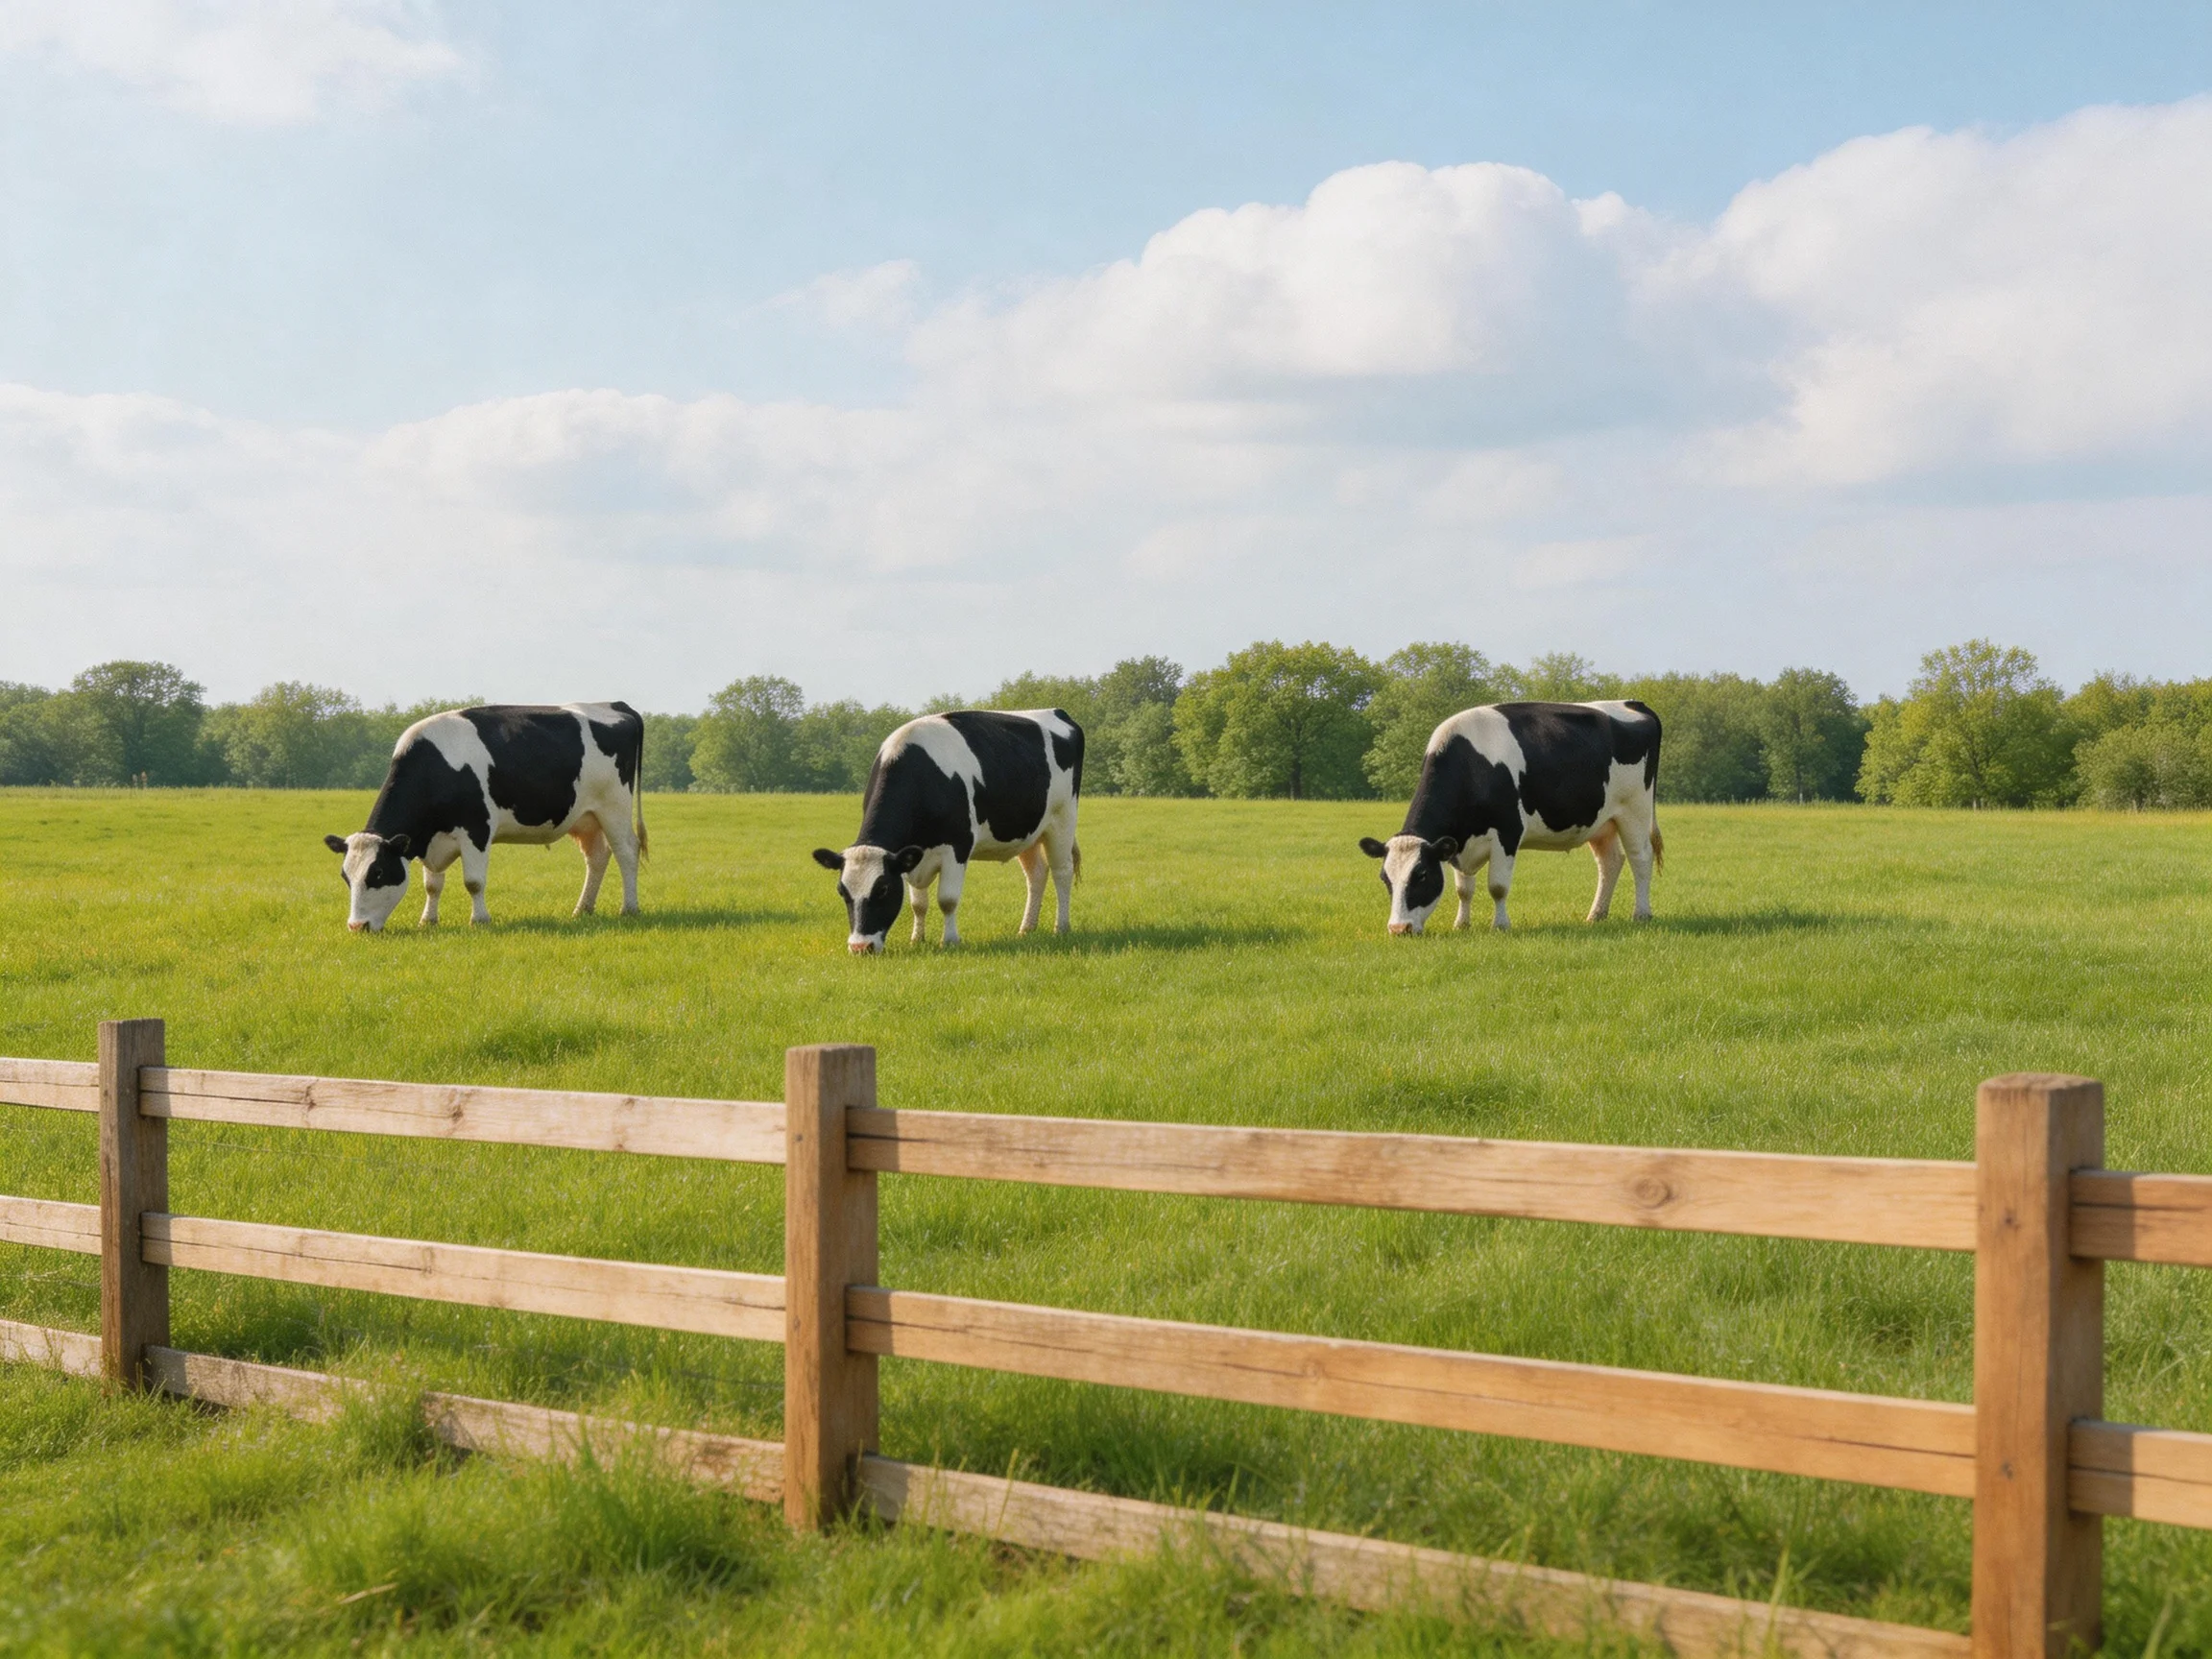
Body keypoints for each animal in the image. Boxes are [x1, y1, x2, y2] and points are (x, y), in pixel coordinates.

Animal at [324, 702, 647, 933]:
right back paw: (583, 909)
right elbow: (433, 885)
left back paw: (629, 908)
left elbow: (474, 882)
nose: (357, 926)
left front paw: (479, 920)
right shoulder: (431, 839)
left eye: (377, 872)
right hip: (585, 818)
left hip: (614, 807)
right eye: (345, 877)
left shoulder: (476, 829)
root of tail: (614, 704)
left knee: (627, 852)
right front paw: (428, 920)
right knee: (598, 857)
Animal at [813, 708, 1082, 955]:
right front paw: (917, 939)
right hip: (1028, 833)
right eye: (842, 891)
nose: (860, 947)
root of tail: (1057, 711)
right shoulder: (912, 856)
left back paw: (1061, 927)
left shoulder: (957, 847)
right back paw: (1027, 928)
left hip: (1063, 819)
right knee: (1036, 875)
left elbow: (948, 899)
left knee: (1062, 872)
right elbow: (918, 904)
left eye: (883, 889)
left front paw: (950, 940)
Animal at [1360, 700, 1661, 934]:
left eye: (1421, 875)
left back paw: (1641, 913)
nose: (1399, 929)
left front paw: (1501, 925)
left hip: (1635, 809)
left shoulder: (1507, 832)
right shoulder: (1457, 842)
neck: (1472, 765)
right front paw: (1462, 925)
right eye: (1385, 878)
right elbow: (1463, 889)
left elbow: (1497, 887)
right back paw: (1596, 915)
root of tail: (1633, 703)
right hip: (1601, 822)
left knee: (1640, 858)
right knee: (1610, 862)